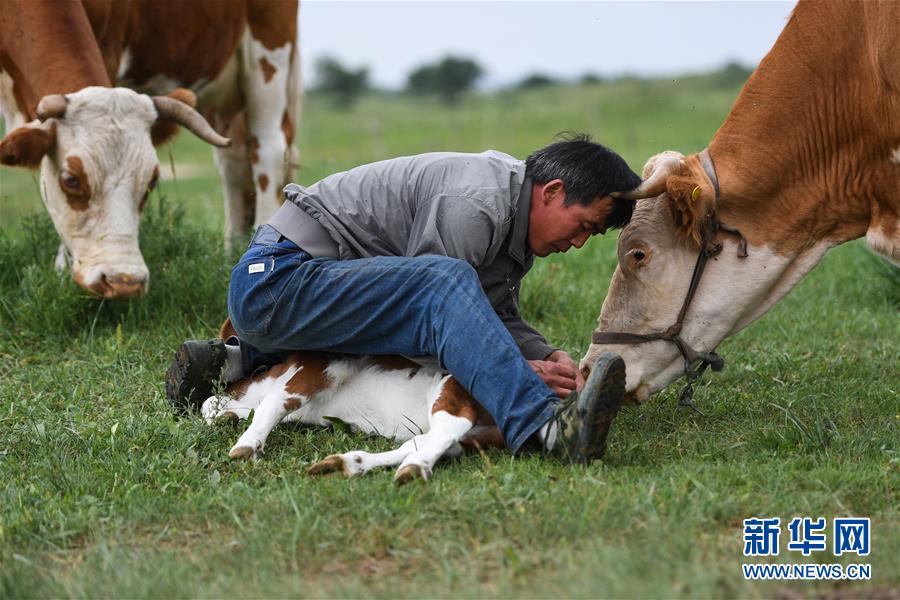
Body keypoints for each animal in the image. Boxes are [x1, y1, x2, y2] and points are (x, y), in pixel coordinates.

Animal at [0, 0, 299, 299]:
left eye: (151, 181)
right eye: (70, 180)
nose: (124, 283)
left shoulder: (110, 45)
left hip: (268, 53)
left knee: (268, 151)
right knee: (233, 163)